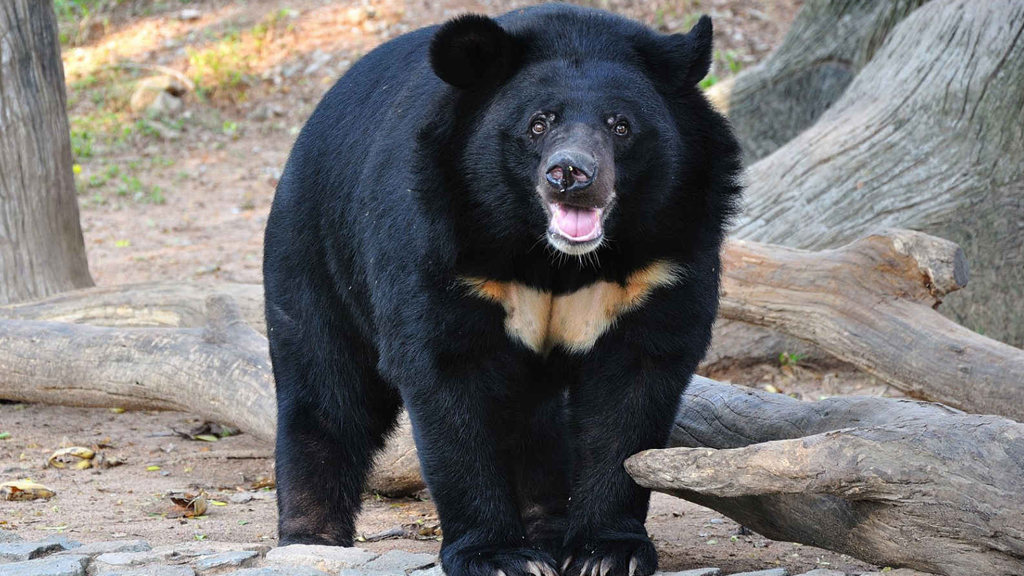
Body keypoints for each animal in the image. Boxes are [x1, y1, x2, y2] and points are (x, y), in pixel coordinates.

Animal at [262, 4, 745, 573]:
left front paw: (606, 551)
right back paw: (311, 537)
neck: (555, 259)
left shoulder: (664, 260)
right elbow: (447, 378)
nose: (570, 174)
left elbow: (632, 392)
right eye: (538, 124)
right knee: (327, 388)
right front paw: (497, 555)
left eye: (620, 125)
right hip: (314, 247)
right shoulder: (440, 242)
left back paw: (548, 528)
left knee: (536, 424)